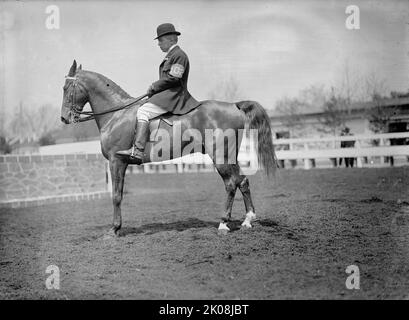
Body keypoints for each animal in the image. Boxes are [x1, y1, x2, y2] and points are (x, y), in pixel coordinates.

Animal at [60, 60, 278, 238]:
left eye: (66, 87)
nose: (64, 118)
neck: (117, 115)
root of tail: (234, 105)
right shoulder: (120, 163)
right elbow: (118, 195)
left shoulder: (117, 161)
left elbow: (116, 196)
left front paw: (114, 229)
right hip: (229, 156)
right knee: (243, 181)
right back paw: (248, 220)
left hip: (220, 157)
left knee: (232, 184)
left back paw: (223, 223)